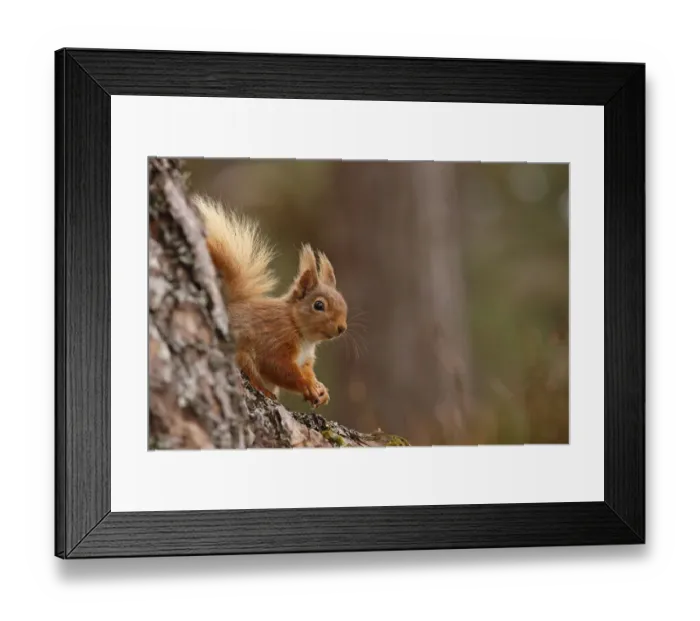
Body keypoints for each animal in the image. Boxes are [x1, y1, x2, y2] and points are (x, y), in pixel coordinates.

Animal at [192, 194, 348, 408]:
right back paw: (264, 390)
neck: (297, 327)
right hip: (242, 354)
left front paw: (320, 389)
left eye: (344, 303)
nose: (342, 328)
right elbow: (277, 367)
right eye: (319, 305)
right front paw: (306, 385)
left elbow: (307, 370)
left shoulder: (306, 359)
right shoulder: (274, 340)